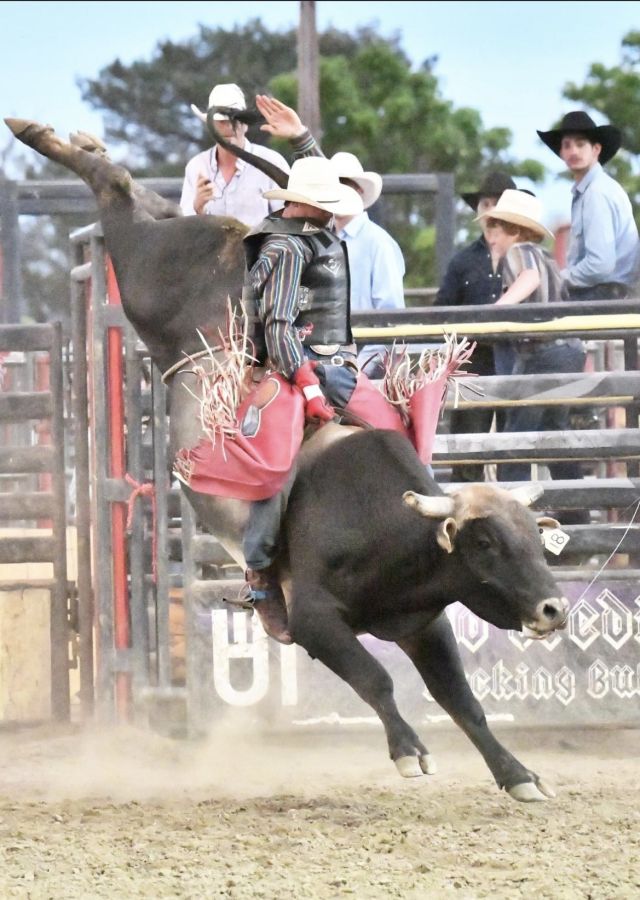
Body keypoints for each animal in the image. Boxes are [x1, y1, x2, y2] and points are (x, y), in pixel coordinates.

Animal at [5, 118, 569, 801]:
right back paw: (49, 138)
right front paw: (408, 751)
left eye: (535, 540)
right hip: (145, 274)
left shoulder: (424, 622)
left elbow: (463, 702)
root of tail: (237, 236)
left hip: (173, 233)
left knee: (143, 195)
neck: (389, 528)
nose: (554, 609)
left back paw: (80, 144)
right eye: (485, 544)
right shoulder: (314, 620)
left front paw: (518, 776)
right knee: (116, 193)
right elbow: (376, 681)